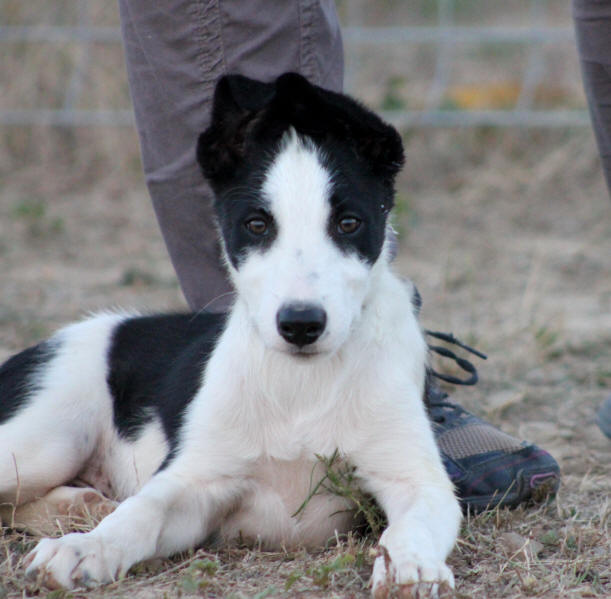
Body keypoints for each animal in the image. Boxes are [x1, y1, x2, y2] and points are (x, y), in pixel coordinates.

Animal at [0, 72, 460, 596]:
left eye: (349, 223)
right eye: (256, 225)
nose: (301, 324)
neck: (299, 384)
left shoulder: (417, 479)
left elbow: (415, 521)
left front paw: (410, 564)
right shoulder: (195, 482)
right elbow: (142, 511)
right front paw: (86, 547)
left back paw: (76, 504)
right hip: (44, 438)